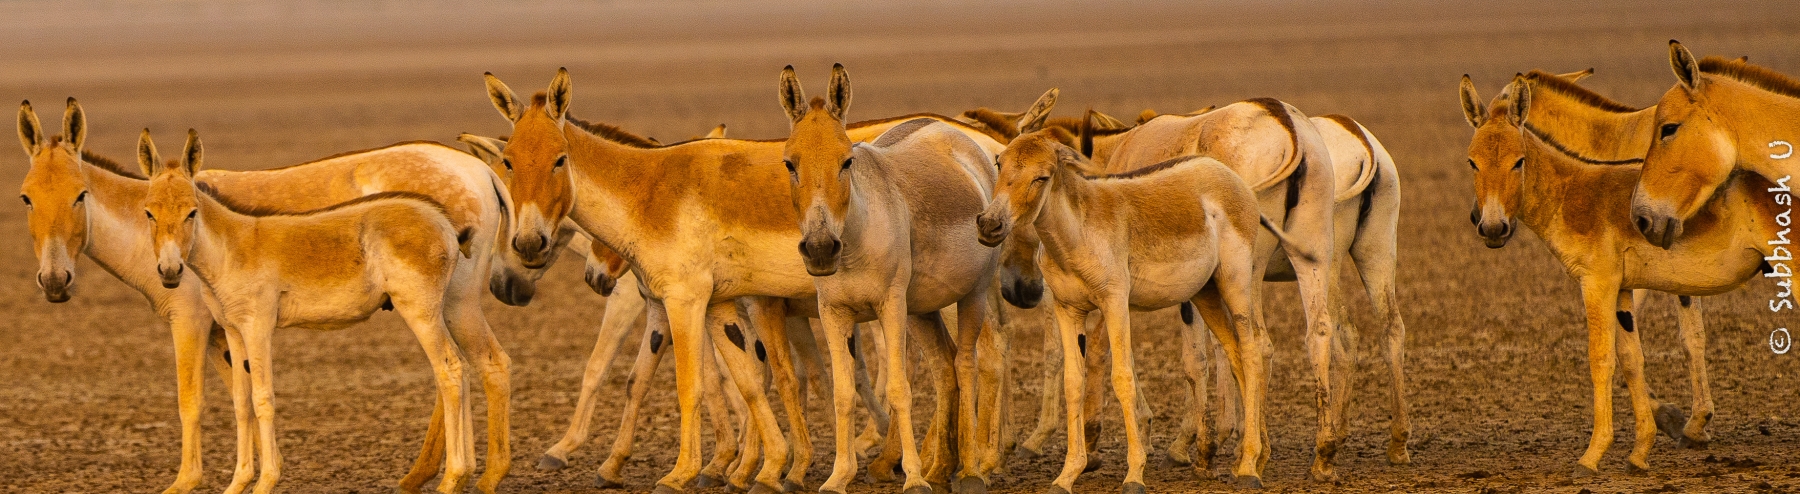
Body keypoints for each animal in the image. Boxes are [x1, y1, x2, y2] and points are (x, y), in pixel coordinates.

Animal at [140, 128, 482, 490]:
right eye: (149, 212)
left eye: (191, 212)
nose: (169, 271)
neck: (230, 249)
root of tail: (443, 222)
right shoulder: (232, 329)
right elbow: (241, 402)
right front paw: (237, 484)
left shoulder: (257, 327)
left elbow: (263, 398)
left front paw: (266, 482)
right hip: (445, 307)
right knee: (462, 366)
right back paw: (464, 475)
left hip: (420, 311)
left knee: (449, 370)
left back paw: (452, 478)